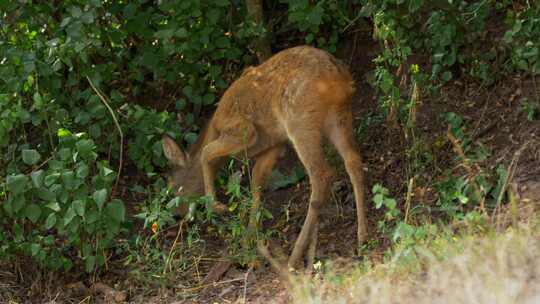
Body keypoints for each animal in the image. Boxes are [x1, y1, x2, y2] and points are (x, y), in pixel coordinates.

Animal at [162, 45, 370, 268]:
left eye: (173, 187)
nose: (175, 216)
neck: (214, 127)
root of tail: (338, 77)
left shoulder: (242, 129)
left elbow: (206, 153)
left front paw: (216, 205)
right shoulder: (273, 145)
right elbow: (256, 185)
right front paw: (247, 245)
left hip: (300, 119)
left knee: (322, 174)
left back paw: (294, 257)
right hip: (339, 116)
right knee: (353, 161)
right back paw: (362, 237)